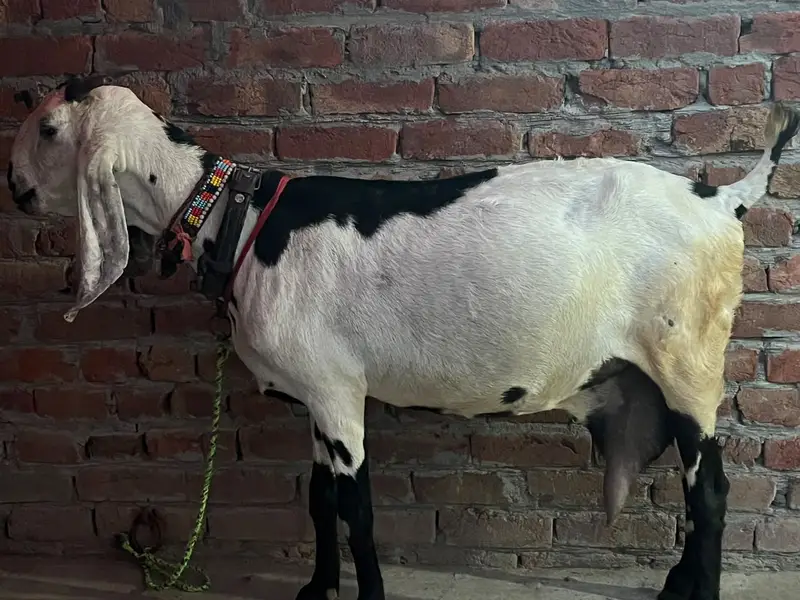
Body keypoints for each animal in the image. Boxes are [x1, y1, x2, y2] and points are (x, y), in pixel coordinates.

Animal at [7, 76, 799, 600]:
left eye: (49, 132)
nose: (14, 189)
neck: (241, 221)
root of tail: (724, 200)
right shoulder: (318, 393)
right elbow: (319, 501)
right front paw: (317, 591)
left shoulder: (336, 391)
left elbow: (357, 510)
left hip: (688, 359)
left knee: (711, 493)